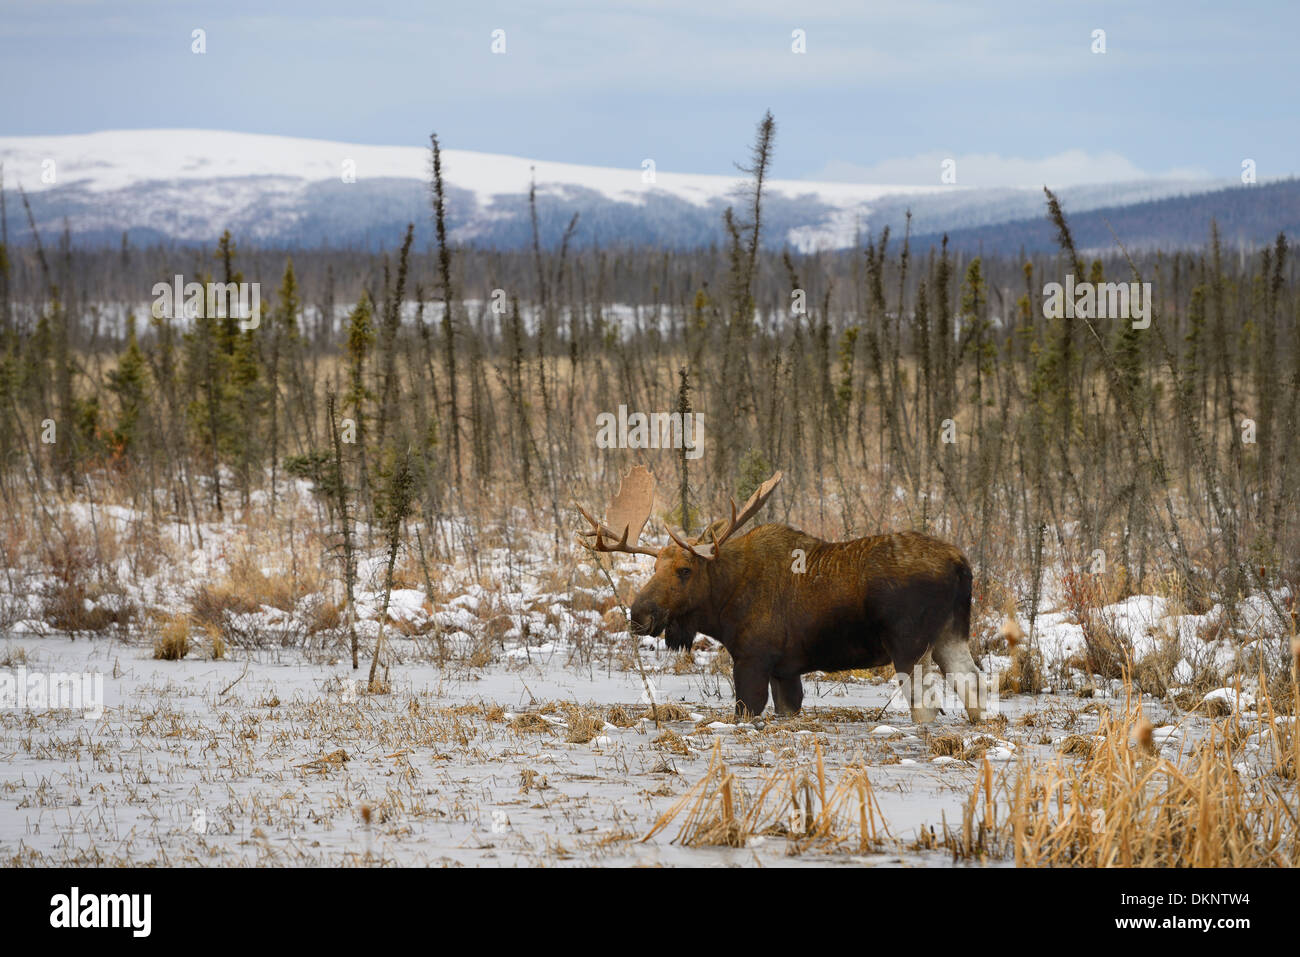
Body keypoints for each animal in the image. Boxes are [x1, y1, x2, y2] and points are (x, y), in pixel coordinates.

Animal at [579, 468, 982, 722]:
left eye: (685, 570)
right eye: (654, 568)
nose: (639, 614)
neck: (723, 606)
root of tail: (961, 564)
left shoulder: (753, 659)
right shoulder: (785, 671)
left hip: (909, 646)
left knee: (926, 706)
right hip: (950, 636)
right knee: (972, 683)